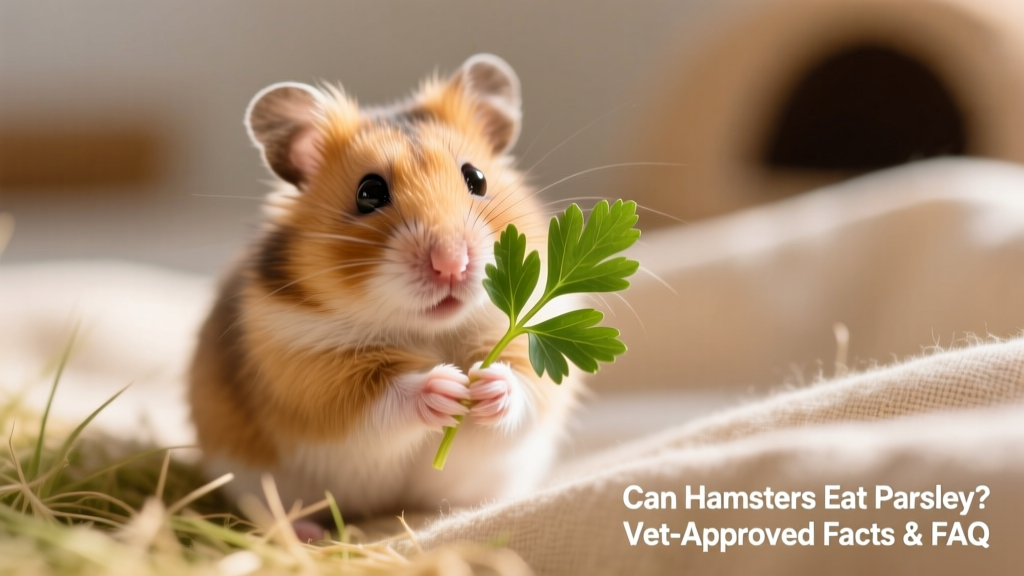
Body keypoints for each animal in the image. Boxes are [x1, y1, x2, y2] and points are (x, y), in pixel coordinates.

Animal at [188, 54, 580, 522]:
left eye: (477, 178)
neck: (430, 332)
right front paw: (446, 385)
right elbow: (378, 404)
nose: (451, 263)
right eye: (369, 192)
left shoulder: (540, 360)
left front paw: (485, 383)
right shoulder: (311, 379)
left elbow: (526, 389)